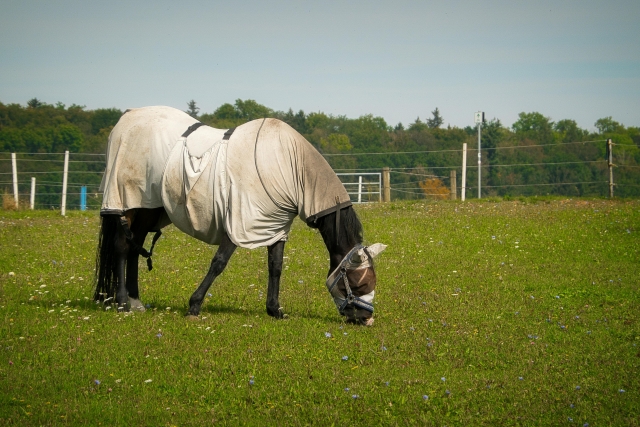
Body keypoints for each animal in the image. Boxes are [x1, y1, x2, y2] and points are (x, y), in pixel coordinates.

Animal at [94, 106, 386, 325]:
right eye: (360, 284)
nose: (366, 320)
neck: (290, 167)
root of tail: (127, 117)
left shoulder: (275, 227)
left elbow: (276, 267)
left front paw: (274, 310)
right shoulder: (238, 225)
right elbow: (219, 263)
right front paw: (194, 306)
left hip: (149, 208)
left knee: (134, 248)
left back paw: (135, 301)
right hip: (128, 204)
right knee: (122, 247)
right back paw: (123, 302)